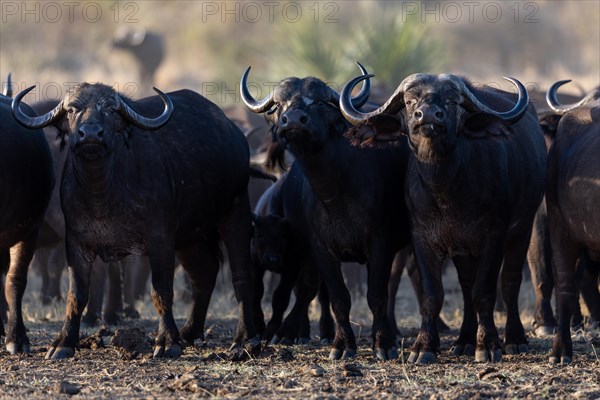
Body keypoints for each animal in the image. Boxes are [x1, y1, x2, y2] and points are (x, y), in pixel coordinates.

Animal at [239, 64, 412, 360]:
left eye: (319, 102)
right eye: (280, 105)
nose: (293, 120)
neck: (336, 193)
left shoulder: (381, 244)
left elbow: (377, 295)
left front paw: (383, 343)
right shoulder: (320, 248)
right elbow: (337, 297)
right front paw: (341, 345)